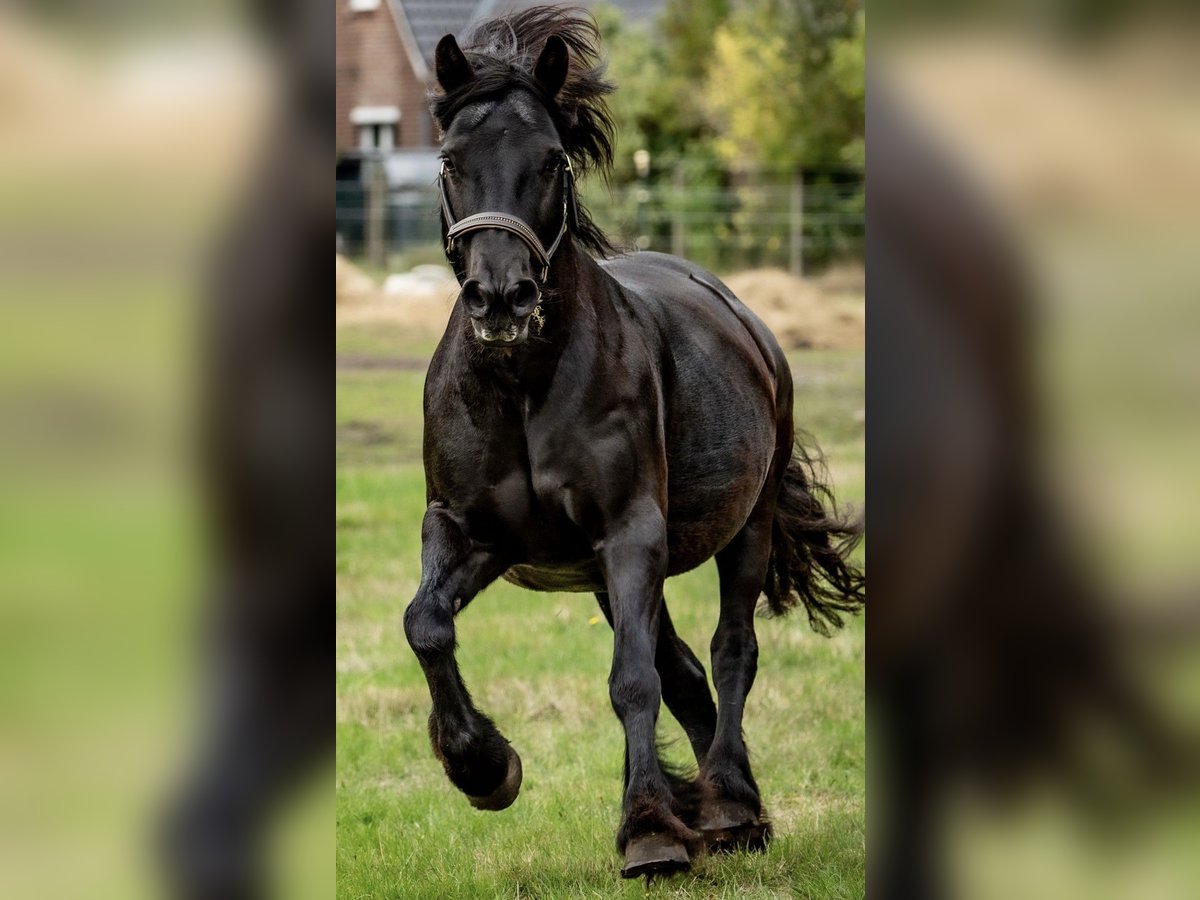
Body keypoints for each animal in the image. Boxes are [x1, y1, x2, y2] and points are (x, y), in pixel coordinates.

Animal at [403, 7, 864, 879]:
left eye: (551, 160)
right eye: (450, 161)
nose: (501, 296)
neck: (525, 384)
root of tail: (744, 319)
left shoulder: (630, 534)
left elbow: (634, 681)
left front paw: (650, 831)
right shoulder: (470, 531)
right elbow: (427, 625)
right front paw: (485, 768)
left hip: (742, 530)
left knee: (729, 651)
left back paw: (727, 803)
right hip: (599, 573)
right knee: (680, 667)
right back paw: (725, 808)